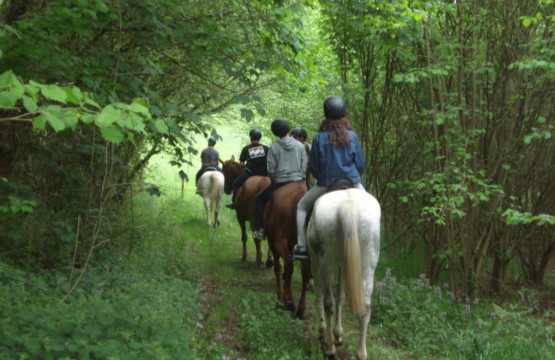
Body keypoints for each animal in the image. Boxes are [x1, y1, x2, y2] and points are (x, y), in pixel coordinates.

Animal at [262, 180, 310, 318]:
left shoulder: (273, 241)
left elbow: (278, 268)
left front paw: (280, 295)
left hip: (279, 240)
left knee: (288, 266)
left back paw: (287, 300)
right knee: (305, 272)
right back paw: (301, 309)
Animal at [308, 188, 382, 360]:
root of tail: (348, 204)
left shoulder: (315, 261)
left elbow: (321, 297)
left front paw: (325, 330)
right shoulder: (344, 265)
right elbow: (341, 297)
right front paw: (338, 334)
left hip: (325, 264)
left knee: (328, 302)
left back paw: (329, 347)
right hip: (367, 266)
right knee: (365, 308)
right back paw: (361, 353)